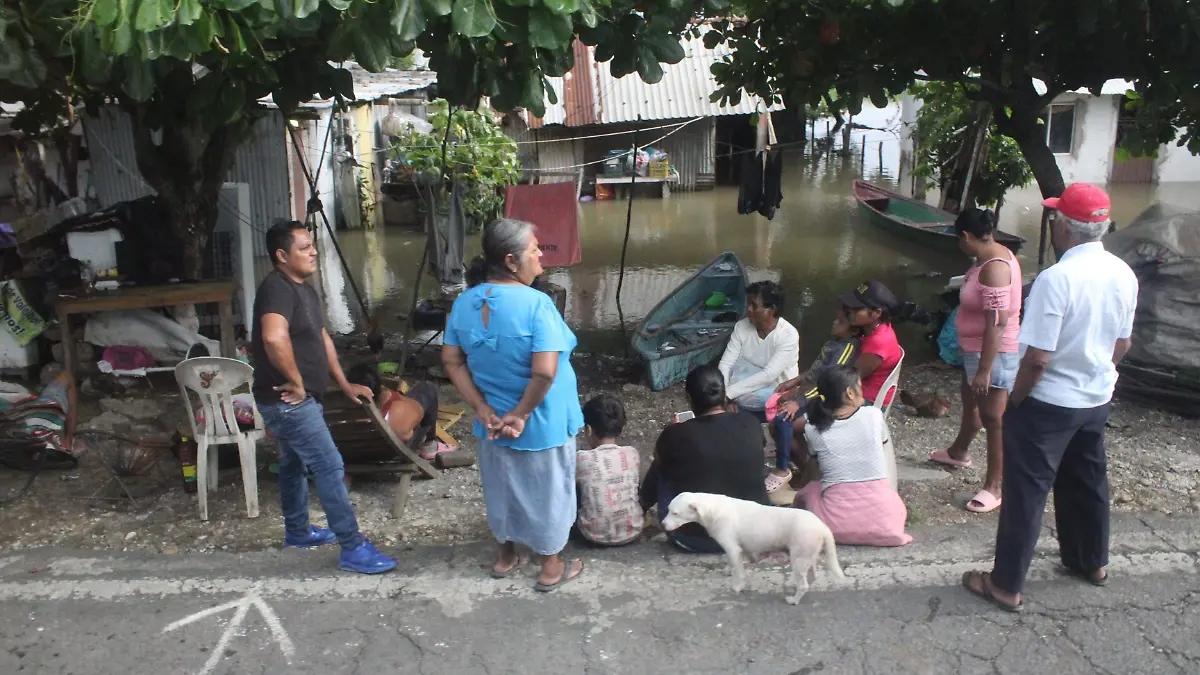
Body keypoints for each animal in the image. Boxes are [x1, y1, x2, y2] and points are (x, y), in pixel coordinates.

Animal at [667, 485, 844, 600]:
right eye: (668, 510)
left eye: (675, 513)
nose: (663, 524)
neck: (712, 508)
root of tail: (823, 527)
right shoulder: (739, 549)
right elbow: (736, 563)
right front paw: (730, 570)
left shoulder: (733, 549)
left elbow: (738, 571)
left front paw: (737, 587)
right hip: (808, 556)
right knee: (812, 576)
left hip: (799, 558)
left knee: (804, 584)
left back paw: (793, 600)